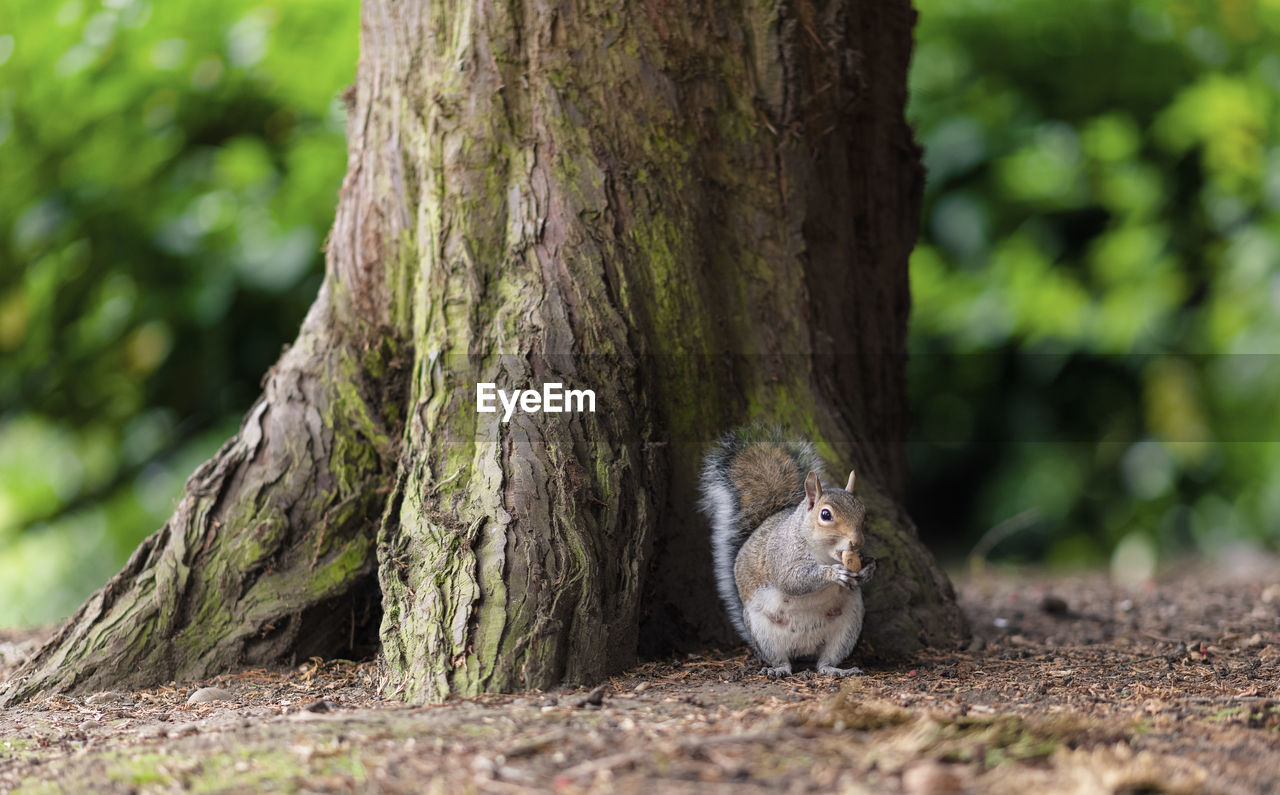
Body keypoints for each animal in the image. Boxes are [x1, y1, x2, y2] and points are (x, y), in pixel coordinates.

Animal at [701, 427, 880, 675]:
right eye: (826, 515)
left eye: (864, 513)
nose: (856, 542)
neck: (823, 553)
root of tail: (804, 648)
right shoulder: (781, 553)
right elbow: (791, 579)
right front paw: (833, 573)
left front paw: (868, 568)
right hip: (762, 632)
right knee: (780, 659)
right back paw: (778, 670)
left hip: (847, 626)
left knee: (825, 662)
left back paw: (836, 670)